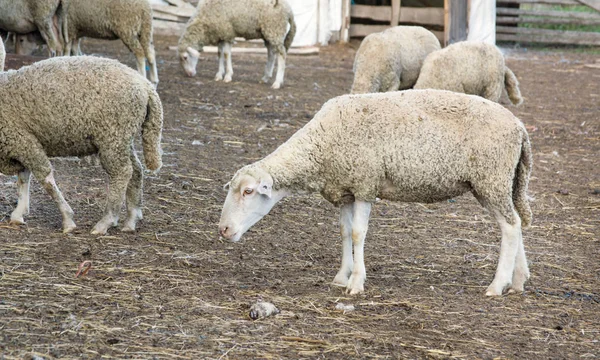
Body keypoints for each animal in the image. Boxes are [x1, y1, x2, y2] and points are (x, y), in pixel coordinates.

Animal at [0, 55, 163, 236]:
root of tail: (146, 86)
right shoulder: (20, 143)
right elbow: (23, 177)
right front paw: (18, 213)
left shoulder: (22, 139)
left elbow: (46, 179)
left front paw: (67, 219)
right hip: (122, 138)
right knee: (136, 170)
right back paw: (131, 218)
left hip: (113, 135)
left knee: (122, 172)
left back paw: (106, 222)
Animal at [220, 89, 536, 296]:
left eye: (248, 191)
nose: (223, 229)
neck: (321, 144)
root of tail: (519, 127)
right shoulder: (345, 189)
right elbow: (344, 233)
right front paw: (341, 276)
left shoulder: (365, 184)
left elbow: (358, 233)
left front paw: (356, 283)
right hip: (498, 183)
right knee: (515, 222)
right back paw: (518, 281)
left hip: (491, 177)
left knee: (510, 226)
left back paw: (497, 285)